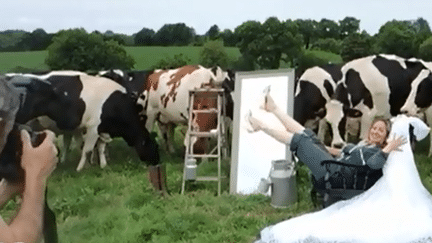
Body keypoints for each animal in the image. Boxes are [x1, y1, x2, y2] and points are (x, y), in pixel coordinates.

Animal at [8, 74, 160, 171]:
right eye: (153, 147)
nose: (157, 162)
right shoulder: (93, 127)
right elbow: (87, 149)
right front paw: (81, 168)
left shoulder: (102, 129)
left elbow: (101, 148)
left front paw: (103, 165)